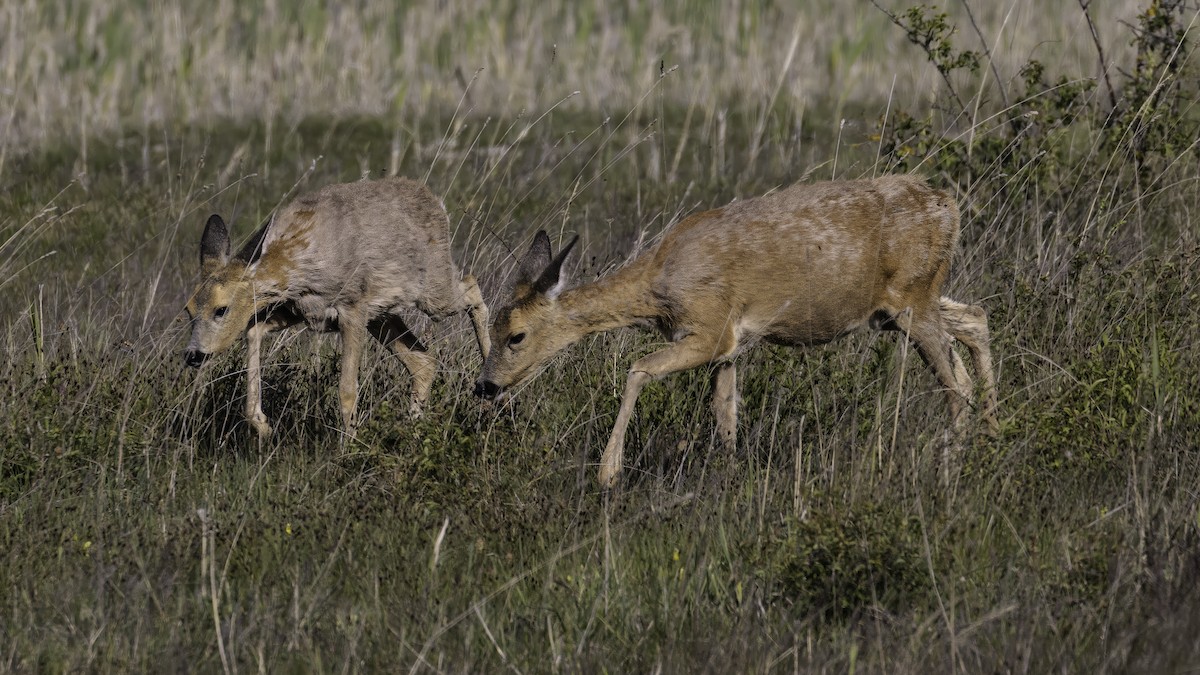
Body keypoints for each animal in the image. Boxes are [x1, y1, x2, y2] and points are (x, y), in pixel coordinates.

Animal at [183, 177, 491, 440]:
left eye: (221, 309)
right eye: (188, 309)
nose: (193, 355)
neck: (298, 263)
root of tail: (437, 204)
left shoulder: (352, 308)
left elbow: (347, 390)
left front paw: (350, 449)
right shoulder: (299, 311)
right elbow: (252, 330)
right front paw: (262, 424)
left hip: (433, 292)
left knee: (472, 286)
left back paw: (490, 386)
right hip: (383, 315)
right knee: (424, 362)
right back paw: (414, 428)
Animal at [474, 174, 998, 488]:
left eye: (516, 336)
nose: (485, 386)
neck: (660, 287)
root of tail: (947, 205)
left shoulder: (708, 330)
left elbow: (638, 369)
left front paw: (608, 473)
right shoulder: (729, 346)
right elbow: (724, 414)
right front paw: (728, 479)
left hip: (911, 298)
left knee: (956, 386)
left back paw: (949, 472)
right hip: (901, 307)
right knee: (975, 320)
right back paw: (992, 436)